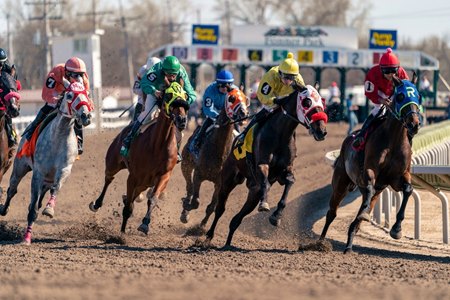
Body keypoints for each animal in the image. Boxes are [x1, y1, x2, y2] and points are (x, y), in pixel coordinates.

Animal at [0, 79, 93, 244]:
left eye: (87, 94)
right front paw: (26, 239)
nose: (86, 115)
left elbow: (55, 189)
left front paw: (49, 209)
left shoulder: (64, 170)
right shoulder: (38, 173)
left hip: (46, 181)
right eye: (70, 95)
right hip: (20, 167)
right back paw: (4, 209)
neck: (58, 137)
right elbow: (32, 209)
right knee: (12, 189)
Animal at [89, 82, 190, 234]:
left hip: (145, 182)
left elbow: (152, 198)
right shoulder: (133, 176)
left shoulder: (163, 175)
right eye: (168, 95)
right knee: (109, 179)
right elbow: (127, 207)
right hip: (114, 163)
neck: (158, 145)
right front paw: (122, 233)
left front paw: (145, 224)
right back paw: (96, 204)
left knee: (134, 194)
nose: (182, 120)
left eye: (185, 96)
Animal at [180, 88, 250, 226]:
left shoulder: (220, 183)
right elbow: (196, 201)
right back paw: (185, 211)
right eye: (231, 98)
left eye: (246, 99)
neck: (218, 151)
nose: (244, 113)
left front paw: (202, 225)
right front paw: (186, 207)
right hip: (186, 164)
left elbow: (211, 207)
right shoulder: (198, 174)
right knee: (189, 188)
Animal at [200, 83, 326, 247]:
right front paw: (265, 205)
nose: (321, 130)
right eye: (307, 102)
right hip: (228, 179)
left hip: (253, 192)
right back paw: (208, 235)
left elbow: (290, 182)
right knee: (220, 208)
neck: (280, 134)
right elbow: (265, 183)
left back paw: (227, 244)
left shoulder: (284, 171)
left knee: (236, 219)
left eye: (322, 101)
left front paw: (276, 216)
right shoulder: (262, 165)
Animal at [318, 75, 420, 253]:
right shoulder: (369, 171)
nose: (414, 124)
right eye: (401, 96)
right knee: (332, 212)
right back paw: (321, 242)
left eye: (418, 95)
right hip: (341, 183)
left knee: (361, 213)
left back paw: (349, 244)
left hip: (375, 190)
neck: (393, 140)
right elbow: (369, 187)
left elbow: (408, 190)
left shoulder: (397, 177)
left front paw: (396, 229)